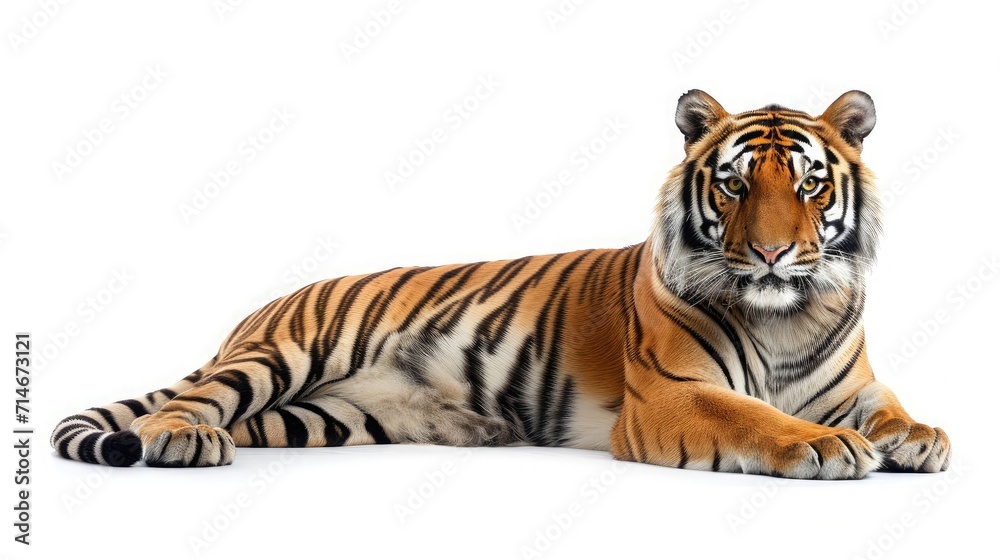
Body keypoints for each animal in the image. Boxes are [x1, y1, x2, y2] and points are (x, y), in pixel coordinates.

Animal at [51, 89, 951, 479]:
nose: (770, 254)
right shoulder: (672, 394)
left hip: (322, 418)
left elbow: (890, 407)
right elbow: (755, 416)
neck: (786, 316)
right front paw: (825, 447)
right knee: (191, 402)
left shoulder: (851, 384)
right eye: (733, 185)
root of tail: (260, 307)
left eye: (808, 186)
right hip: (282, 357)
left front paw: (921, 438)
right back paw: (181, 440)